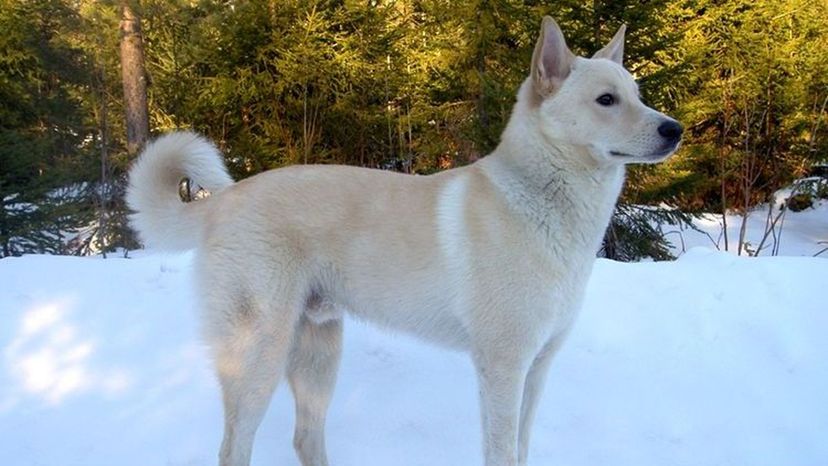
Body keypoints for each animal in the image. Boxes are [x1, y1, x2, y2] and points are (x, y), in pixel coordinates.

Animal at [128, 15, 684, 466]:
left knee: (305, 439)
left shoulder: (538, 367)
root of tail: (223, 200)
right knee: (234, 448)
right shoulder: (503, 366)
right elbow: (502, 452)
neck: (540, 200)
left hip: (318, 356)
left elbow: (522, 449)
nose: (675, 129)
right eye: (606, 100)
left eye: (637, 95)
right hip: (258, 357)